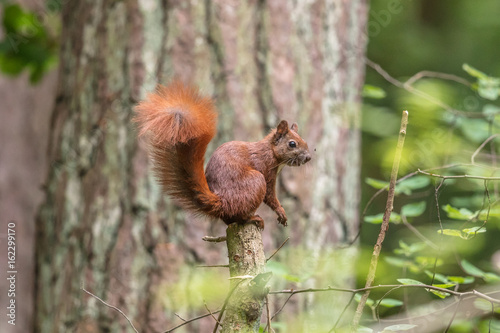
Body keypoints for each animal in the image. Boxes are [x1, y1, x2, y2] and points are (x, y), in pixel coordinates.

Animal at [135, 80, 310, 228]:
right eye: (292, 144)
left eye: (304, 140)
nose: (308, 157)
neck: (271, 152)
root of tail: (222, 203)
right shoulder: (265, 169)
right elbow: (270, 196)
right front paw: (281, 212)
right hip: (255, 182)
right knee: (240, 217)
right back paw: (252, 218)